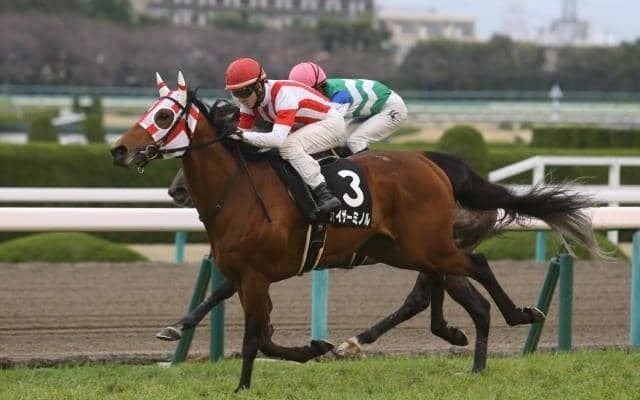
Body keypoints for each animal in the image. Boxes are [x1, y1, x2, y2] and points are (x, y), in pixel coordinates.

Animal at [111, 72, 601, 392]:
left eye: (163, 116)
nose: (119, 150)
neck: (238, 189)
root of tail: (432, 164)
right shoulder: (245, 273)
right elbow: (244, 321)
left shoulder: (255, 276)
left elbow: (254, 338)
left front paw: (243, 387)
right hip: (405, 250)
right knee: (454, 294)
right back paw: (470, 357)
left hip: (431, 245)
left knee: (473, 267)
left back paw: (519, 315)